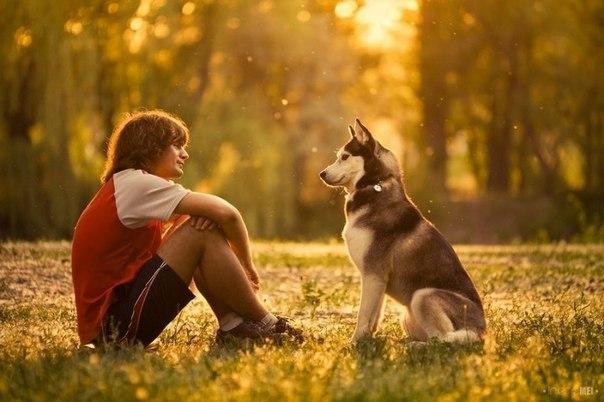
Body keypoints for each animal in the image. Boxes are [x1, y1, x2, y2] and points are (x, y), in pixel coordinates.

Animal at [320, 118, 486, 342]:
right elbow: (374, 316)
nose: (322, 174)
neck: (375, 185)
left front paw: (354, 342)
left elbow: (363, 314)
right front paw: (368, 340)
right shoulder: (377, 280)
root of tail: (482, 329)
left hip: (422, 295)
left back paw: (415, 346)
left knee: (441, 340)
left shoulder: (373, 273)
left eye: (344, 157)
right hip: (407, 316)